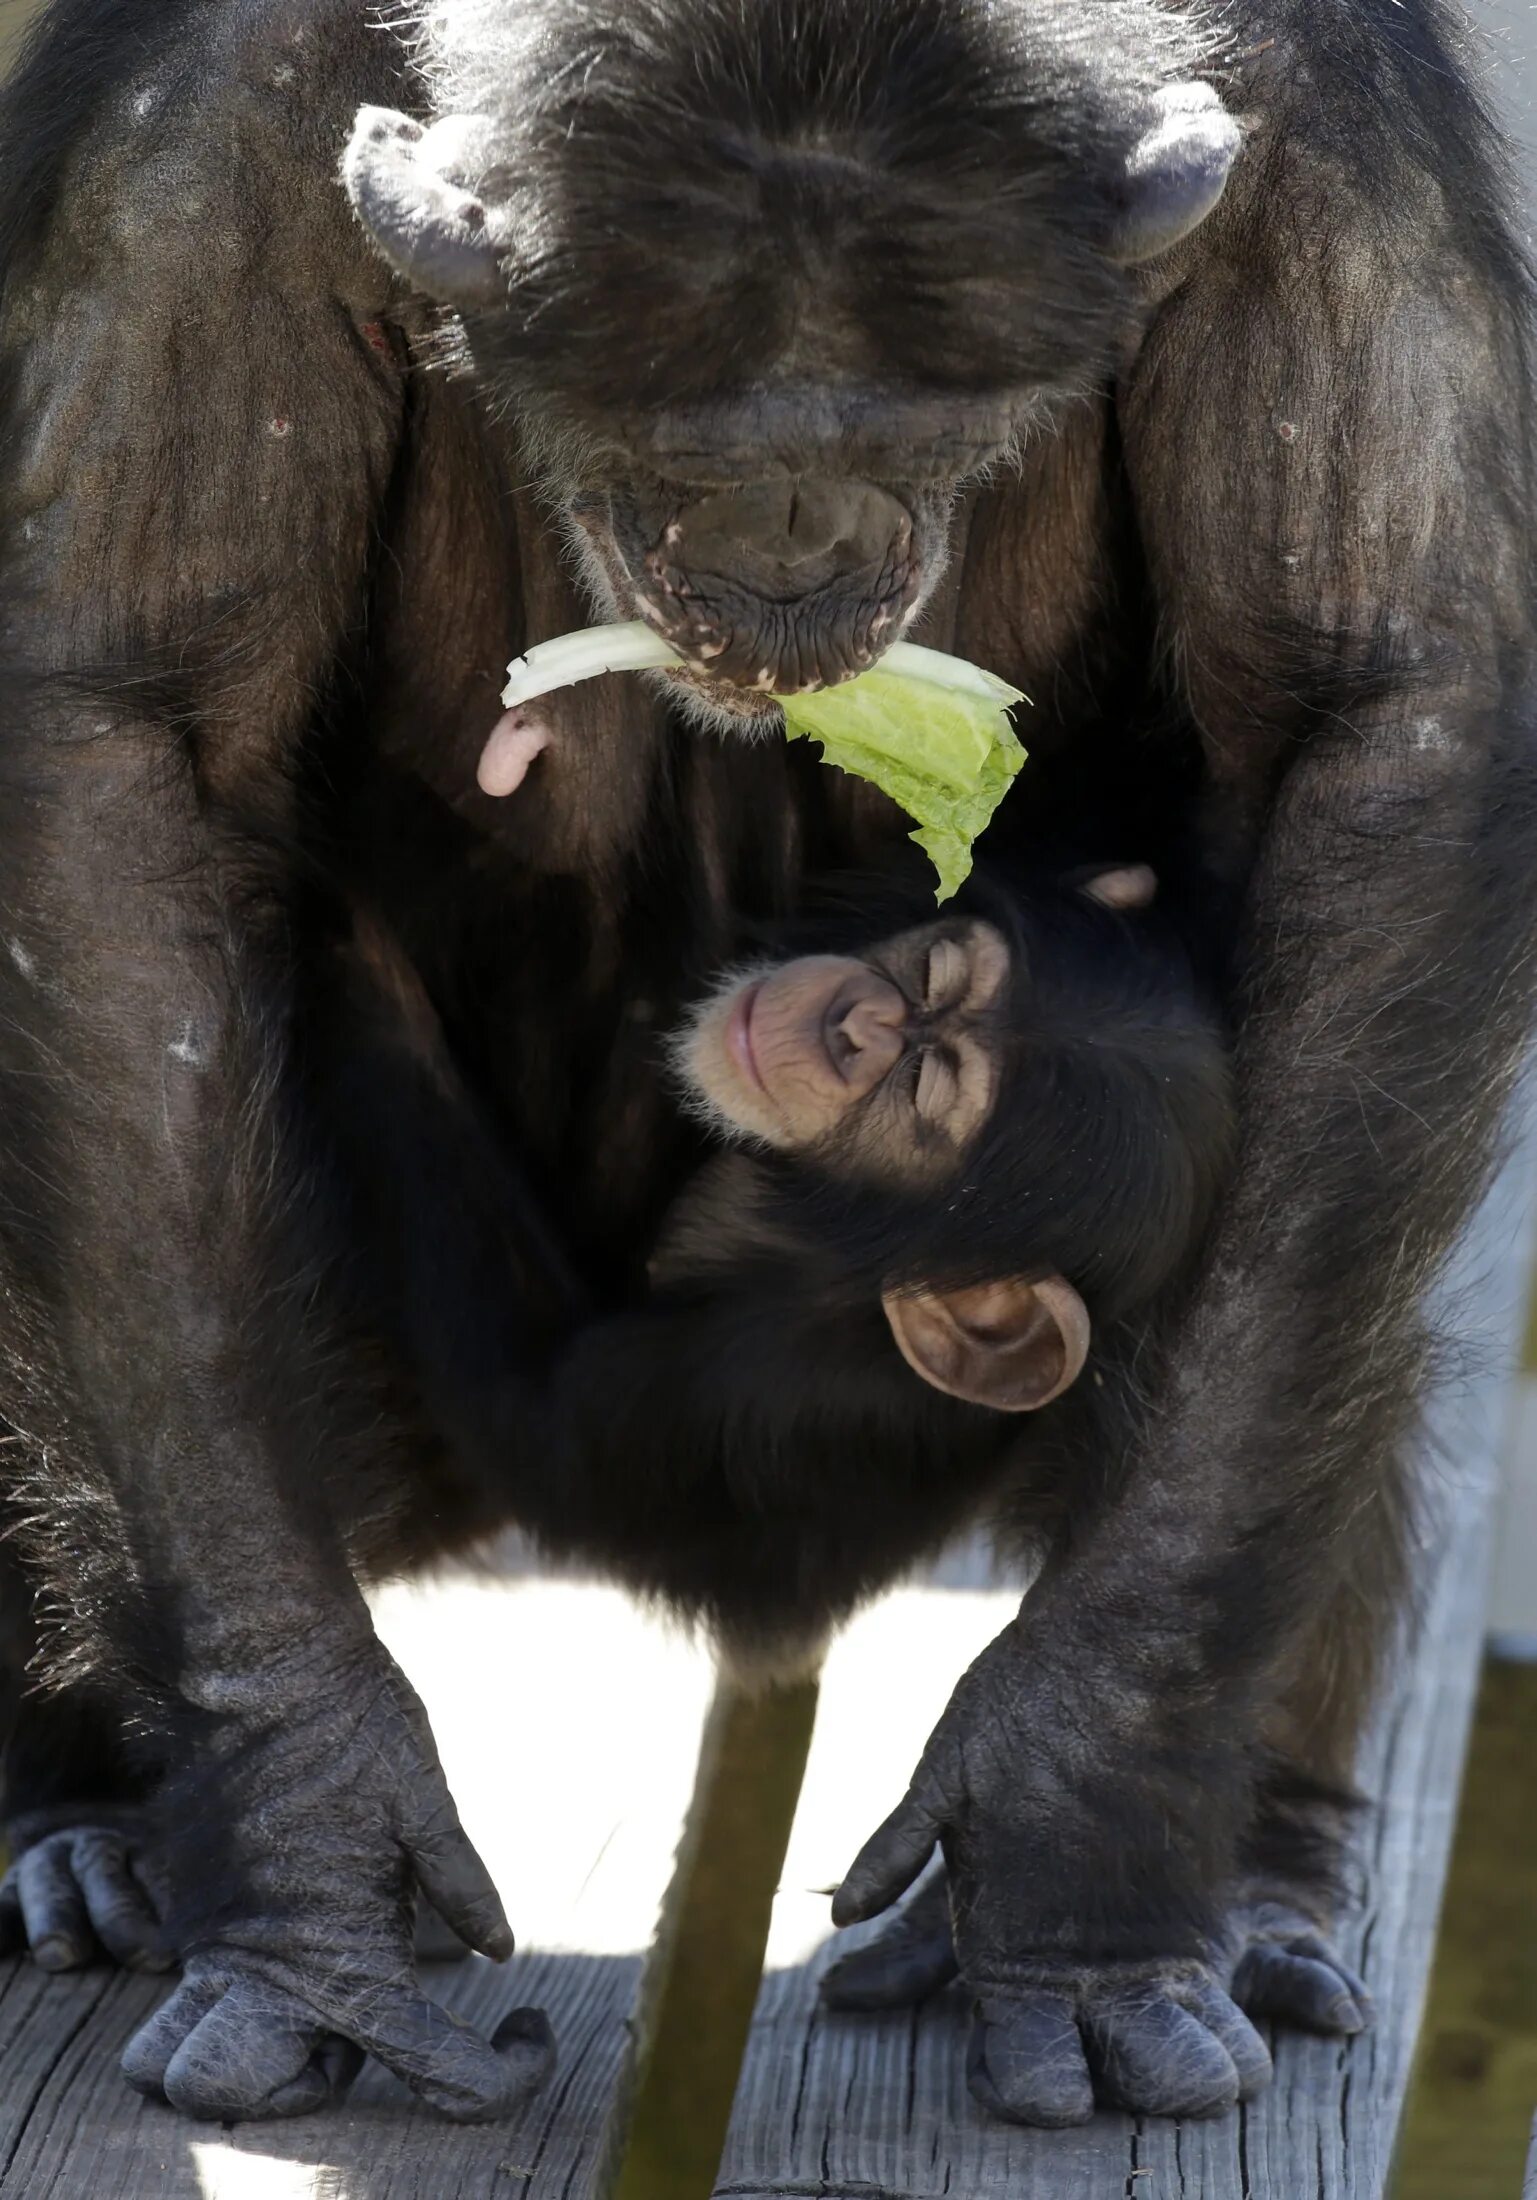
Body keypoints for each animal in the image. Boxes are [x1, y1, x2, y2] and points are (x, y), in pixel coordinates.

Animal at [0, 0, 1530, 2129]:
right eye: (689, 456)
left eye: (905, 445)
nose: (793, 548)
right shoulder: (199, 130)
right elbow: (123, 741)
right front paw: (308, 1845)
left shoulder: (1329, 125)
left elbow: (1372, 718)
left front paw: (1079, 1817)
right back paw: (87, 1827)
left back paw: (1255, 1882)